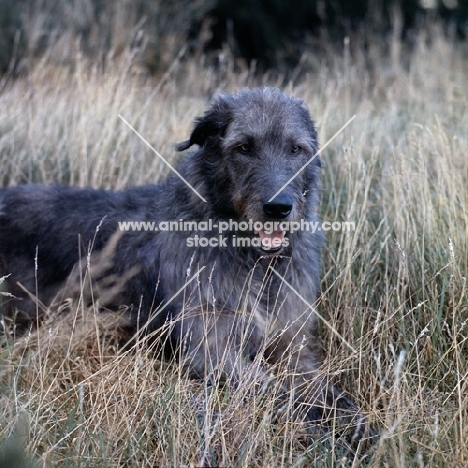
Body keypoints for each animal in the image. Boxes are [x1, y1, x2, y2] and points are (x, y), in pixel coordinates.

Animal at [1, 87, 372, 446]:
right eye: (243, 147)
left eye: (296, 148)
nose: (278, 207)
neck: (253, 262)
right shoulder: (210, 351)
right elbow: (275, 389)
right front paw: (322, 434)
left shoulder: (293, 345)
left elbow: (324, 388)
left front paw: (356, 424)